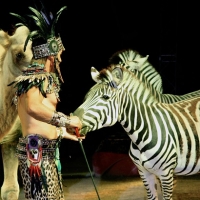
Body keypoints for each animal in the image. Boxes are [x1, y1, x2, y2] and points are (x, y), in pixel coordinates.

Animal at [73, 66, 200, 199]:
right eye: (86, 97)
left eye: (105, 97)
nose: (71, 120)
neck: (143, 132)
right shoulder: (144, 173)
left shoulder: (166, 173)